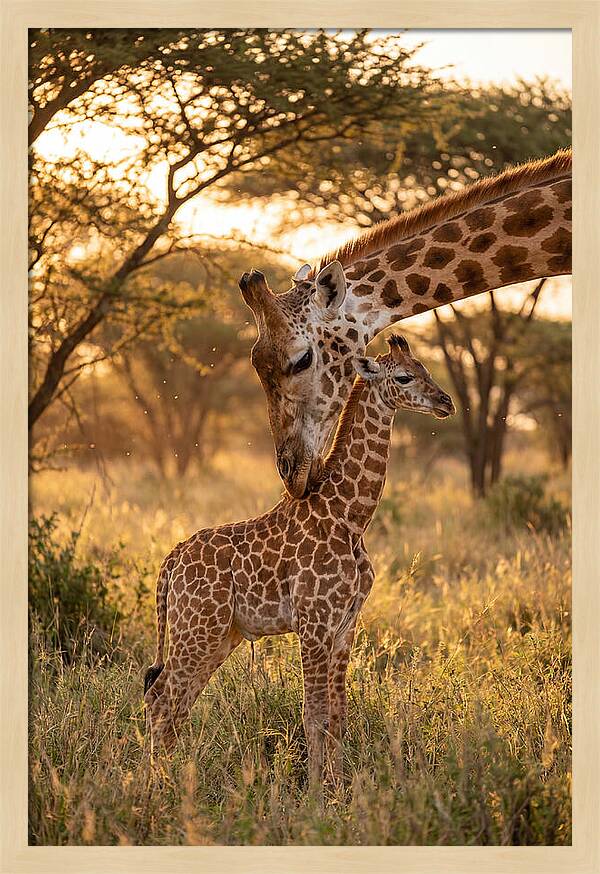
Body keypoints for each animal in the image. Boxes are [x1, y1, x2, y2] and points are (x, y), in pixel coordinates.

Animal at [143, 335, 454, 788]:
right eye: (404, 376)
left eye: (425, 368)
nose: (446, 402)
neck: (349, 515)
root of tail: (170, 563)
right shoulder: (313, 621)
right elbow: (313, 715)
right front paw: (315, 795)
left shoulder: (345, 625)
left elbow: (338, 717)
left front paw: (340, 790)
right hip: (197, 629)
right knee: (161, 699)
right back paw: (156, 788)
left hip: (219, 635)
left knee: (173, 700)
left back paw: (170, 781)